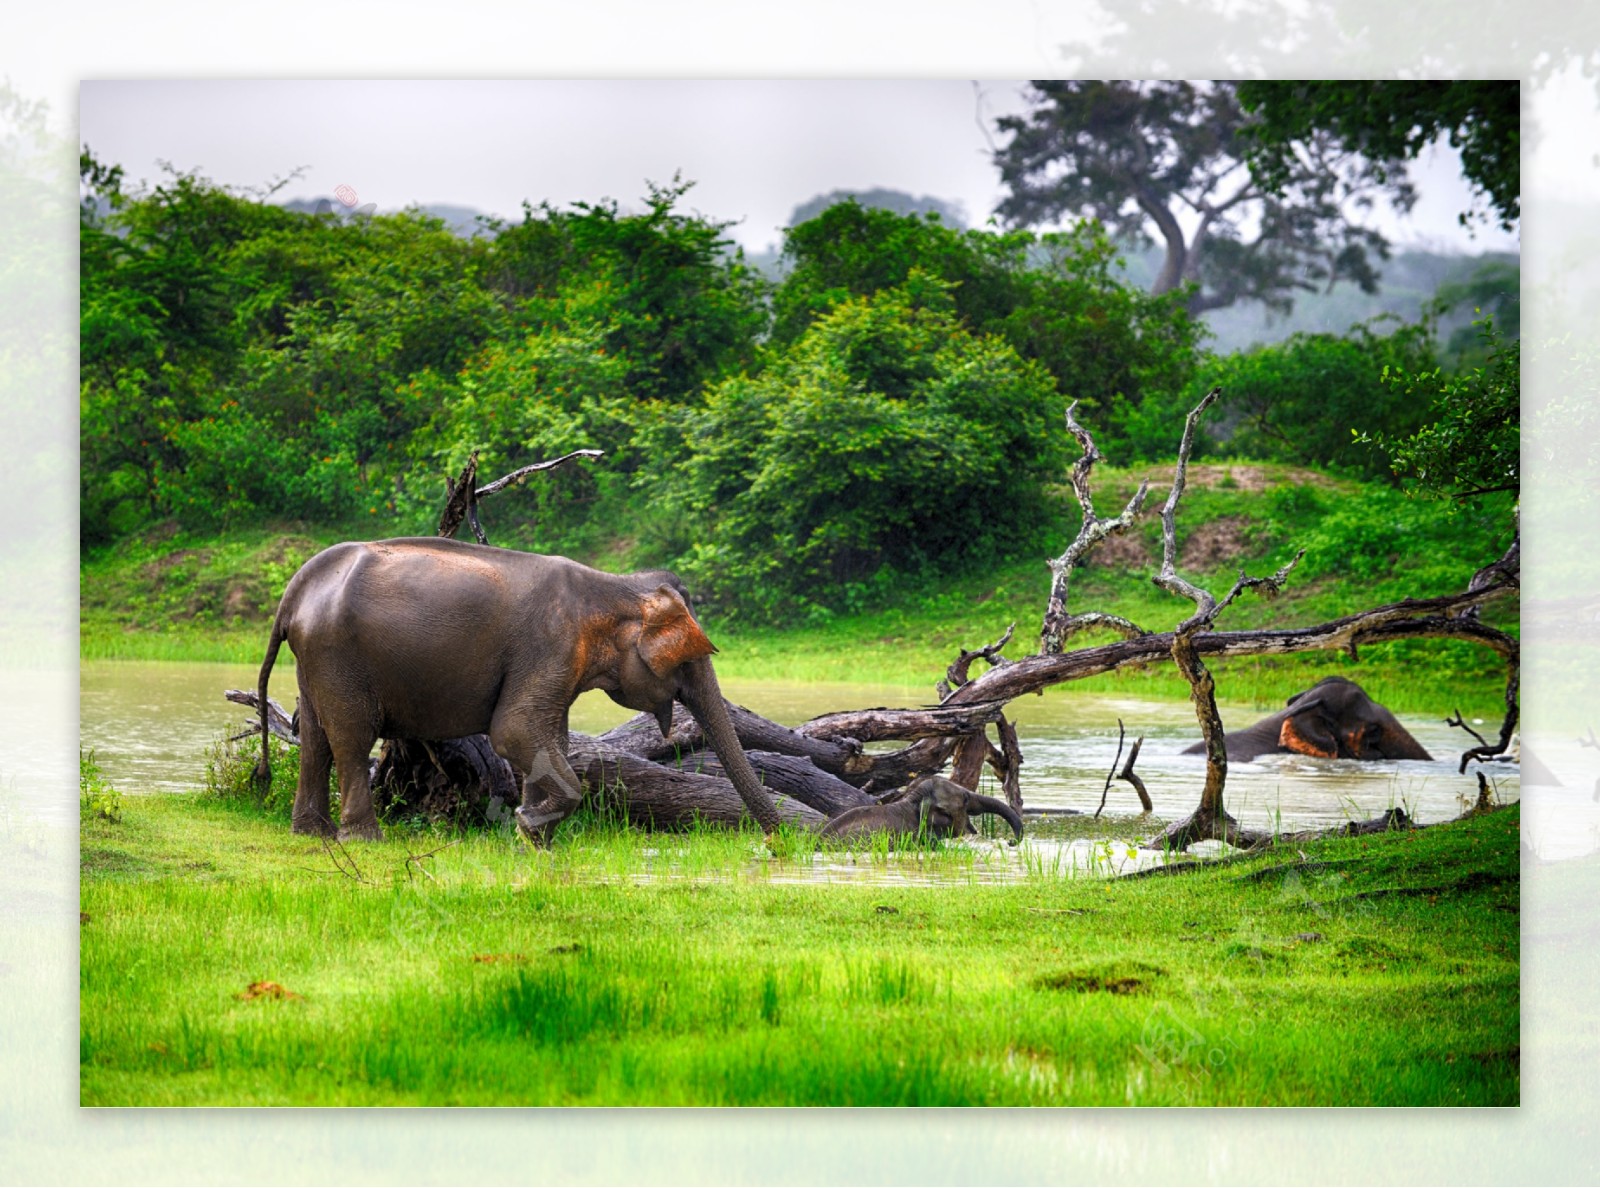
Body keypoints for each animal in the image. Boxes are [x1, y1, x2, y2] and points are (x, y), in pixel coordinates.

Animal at [256, 541, 787, 845]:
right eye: (688, 663)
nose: (776, 845)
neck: (613, 586)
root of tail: (294, 592)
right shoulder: (549, 644)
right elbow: (514, 731)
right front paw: (527, 825)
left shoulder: (557, 663)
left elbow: (547, 737)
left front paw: (535, 836)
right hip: (338, 654)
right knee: (349, 739)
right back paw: (365, 840)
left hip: (316, 658)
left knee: (315, 738)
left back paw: (312, 832)